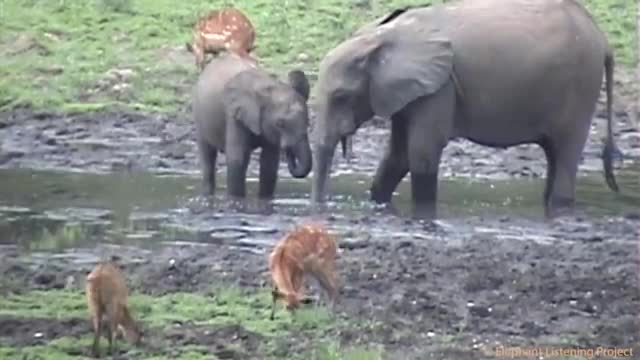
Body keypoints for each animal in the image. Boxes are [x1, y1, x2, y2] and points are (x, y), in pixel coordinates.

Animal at [194, 52, 314, 200]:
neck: (269, 86)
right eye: (280, 124)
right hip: (199, 116)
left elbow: (269, 164)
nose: (287, 150)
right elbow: (237, 159)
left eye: (308, 123)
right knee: (208, 158)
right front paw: (236, 200)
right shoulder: (234, 115)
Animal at [310, 0, 620, 219]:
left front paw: (424, 215)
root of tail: (603, 39)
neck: (381, 36)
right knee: (554, 154)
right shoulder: (407, 89)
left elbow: (421, 153)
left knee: (566, 153)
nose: (322, 206)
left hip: (581, 87)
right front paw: (378, 203)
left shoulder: (441, 86)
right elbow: (397, 155)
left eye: (341, 97)